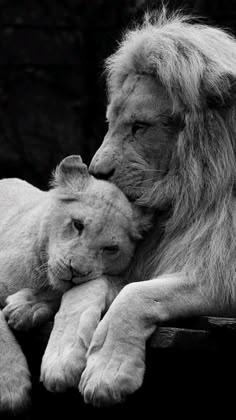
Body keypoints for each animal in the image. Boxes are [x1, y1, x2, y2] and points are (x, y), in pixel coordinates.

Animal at [77, 10, 236, 406]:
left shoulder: (222, 273)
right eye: (111, 123)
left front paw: (107, 371)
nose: (96, 172)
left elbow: (137, 293)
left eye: (140, 126)